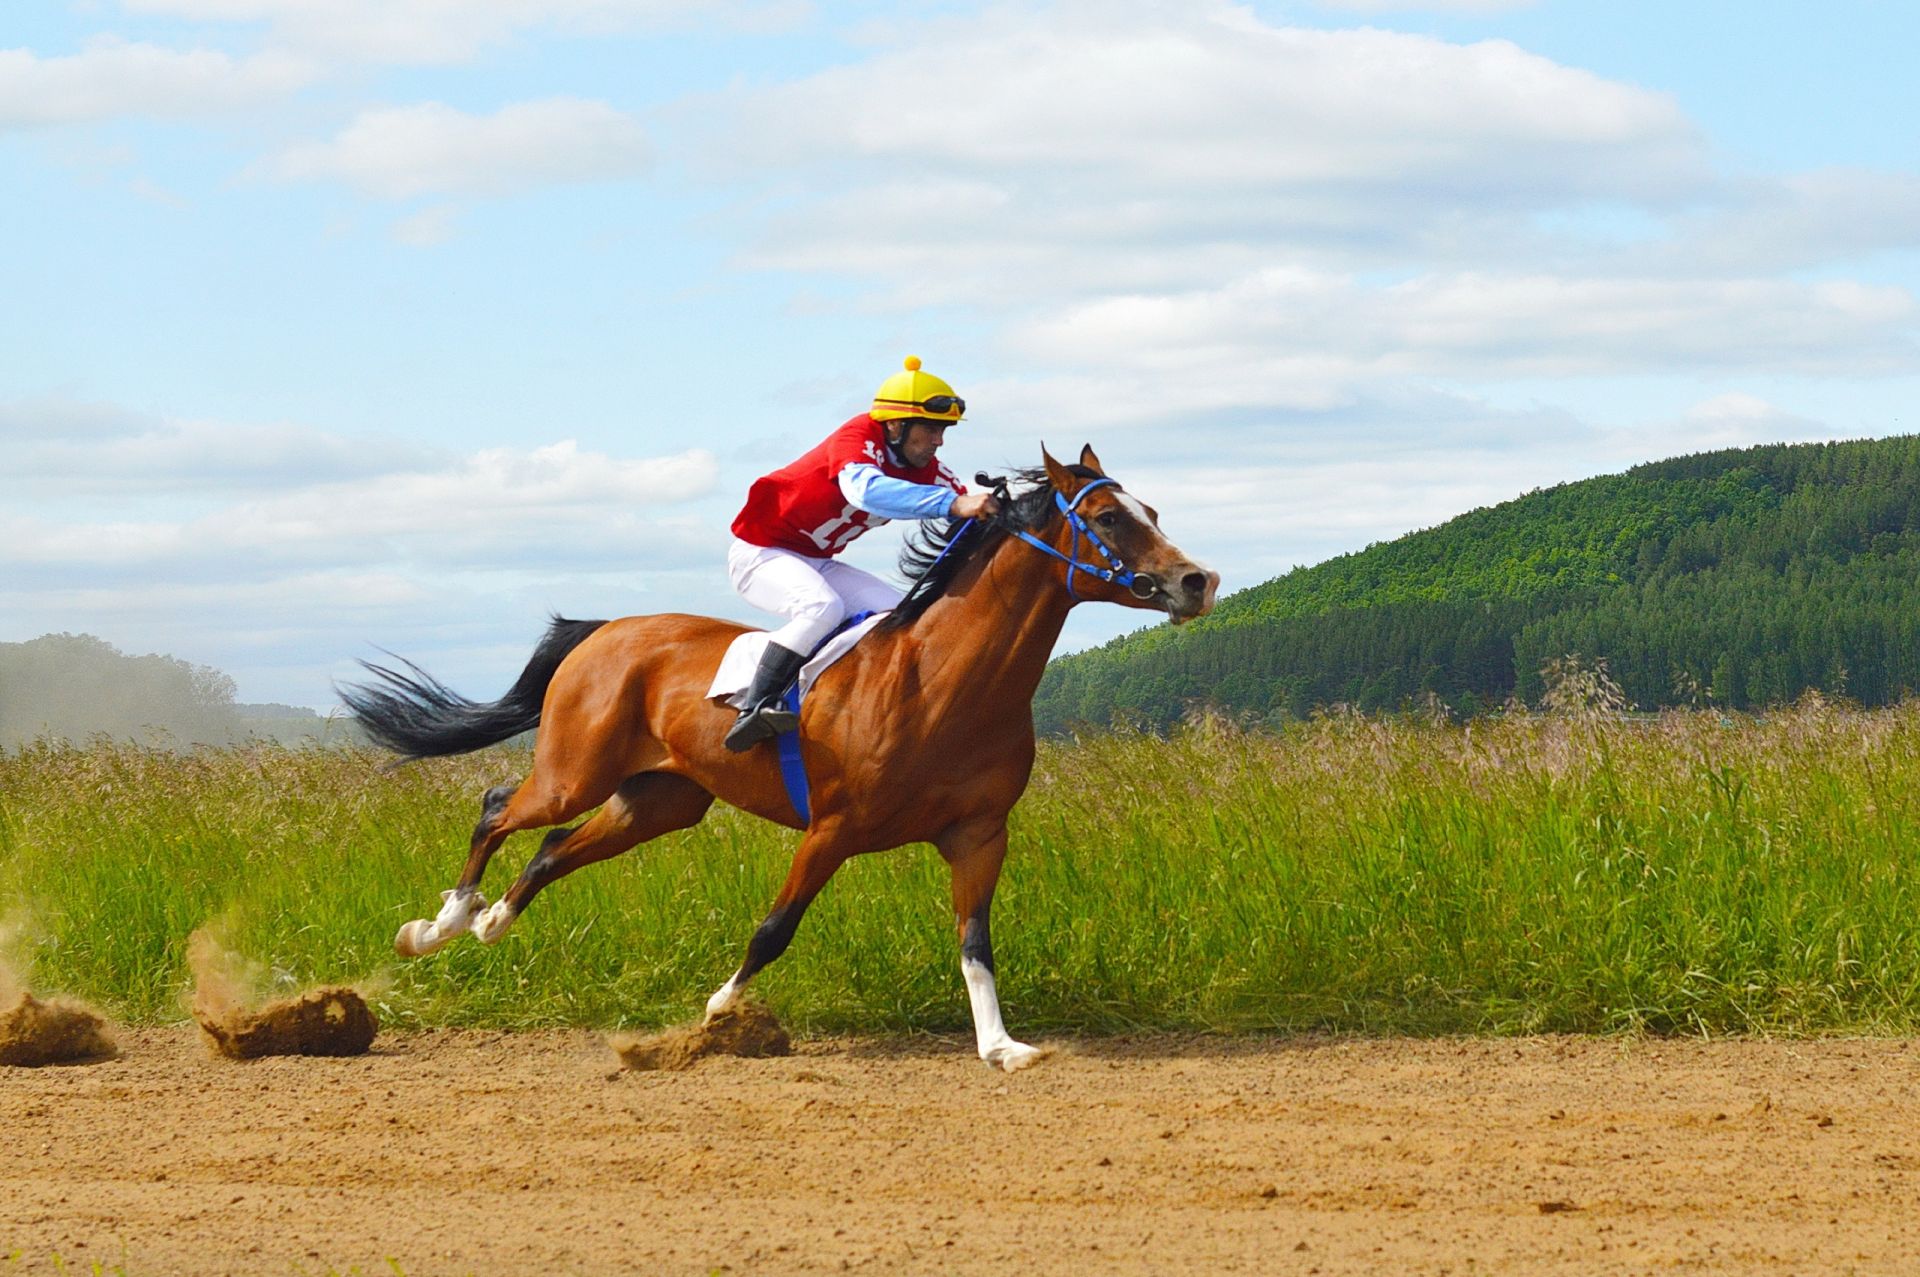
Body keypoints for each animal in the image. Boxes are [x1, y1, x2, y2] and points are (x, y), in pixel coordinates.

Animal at [343, 445, 1213, 1067]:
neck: (948, 682)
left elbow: (975, 942)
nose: (1196, 580)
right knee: (501, 809)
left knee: (554, 847)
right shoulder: (832, 827)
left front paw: (1002, 1045)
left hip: (659, 799)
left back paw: (491, 920)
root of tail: (603, 630)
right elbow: (774, 928)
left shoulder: (979, 833)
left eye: (1152, 509)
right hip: (573, 772)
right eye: (1107, 516)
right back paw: (439, 924)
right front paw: (720, 1011)